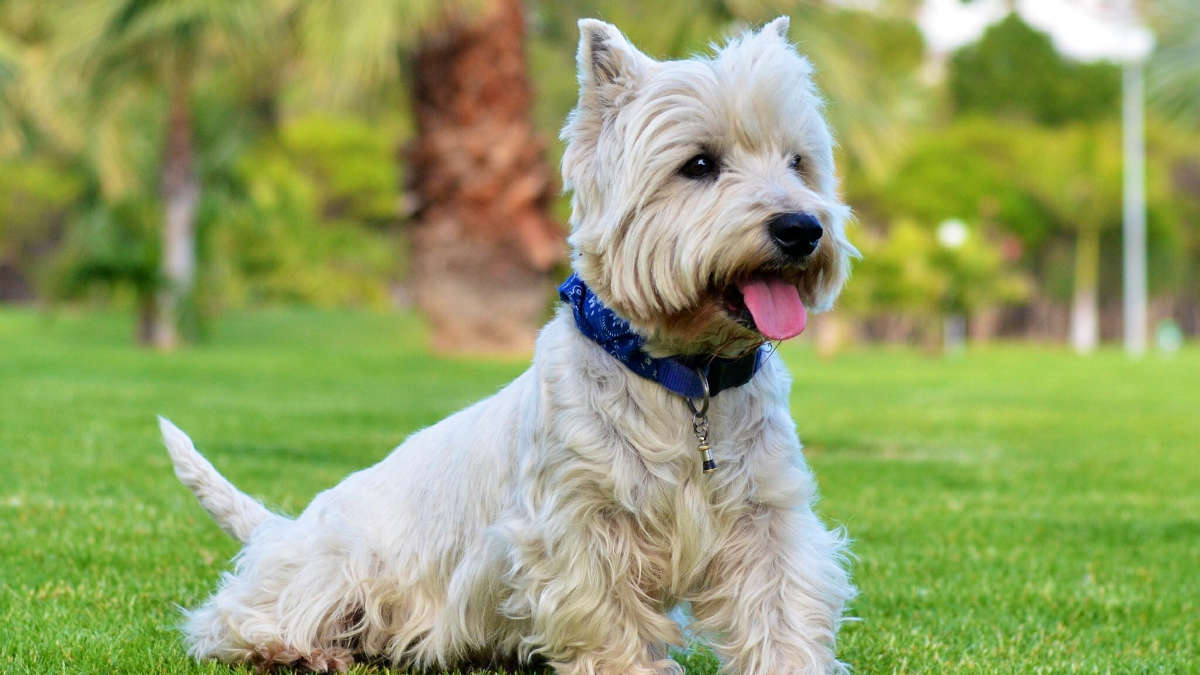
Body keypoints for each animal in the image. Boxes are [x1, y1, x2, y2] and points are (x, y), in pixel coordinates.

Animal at [162, 17, 854, 672]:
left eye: (798, 162)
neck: (688, 380)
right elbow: (604, 608)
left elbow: (781, 606)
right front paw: (628, 668)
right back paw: (293, 649)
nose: (802, 228)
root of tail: (285, 528)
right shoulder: (576, 517)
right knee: (231, 616)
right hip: (334, 566)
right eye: (701, 164)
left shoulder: (766, 514)